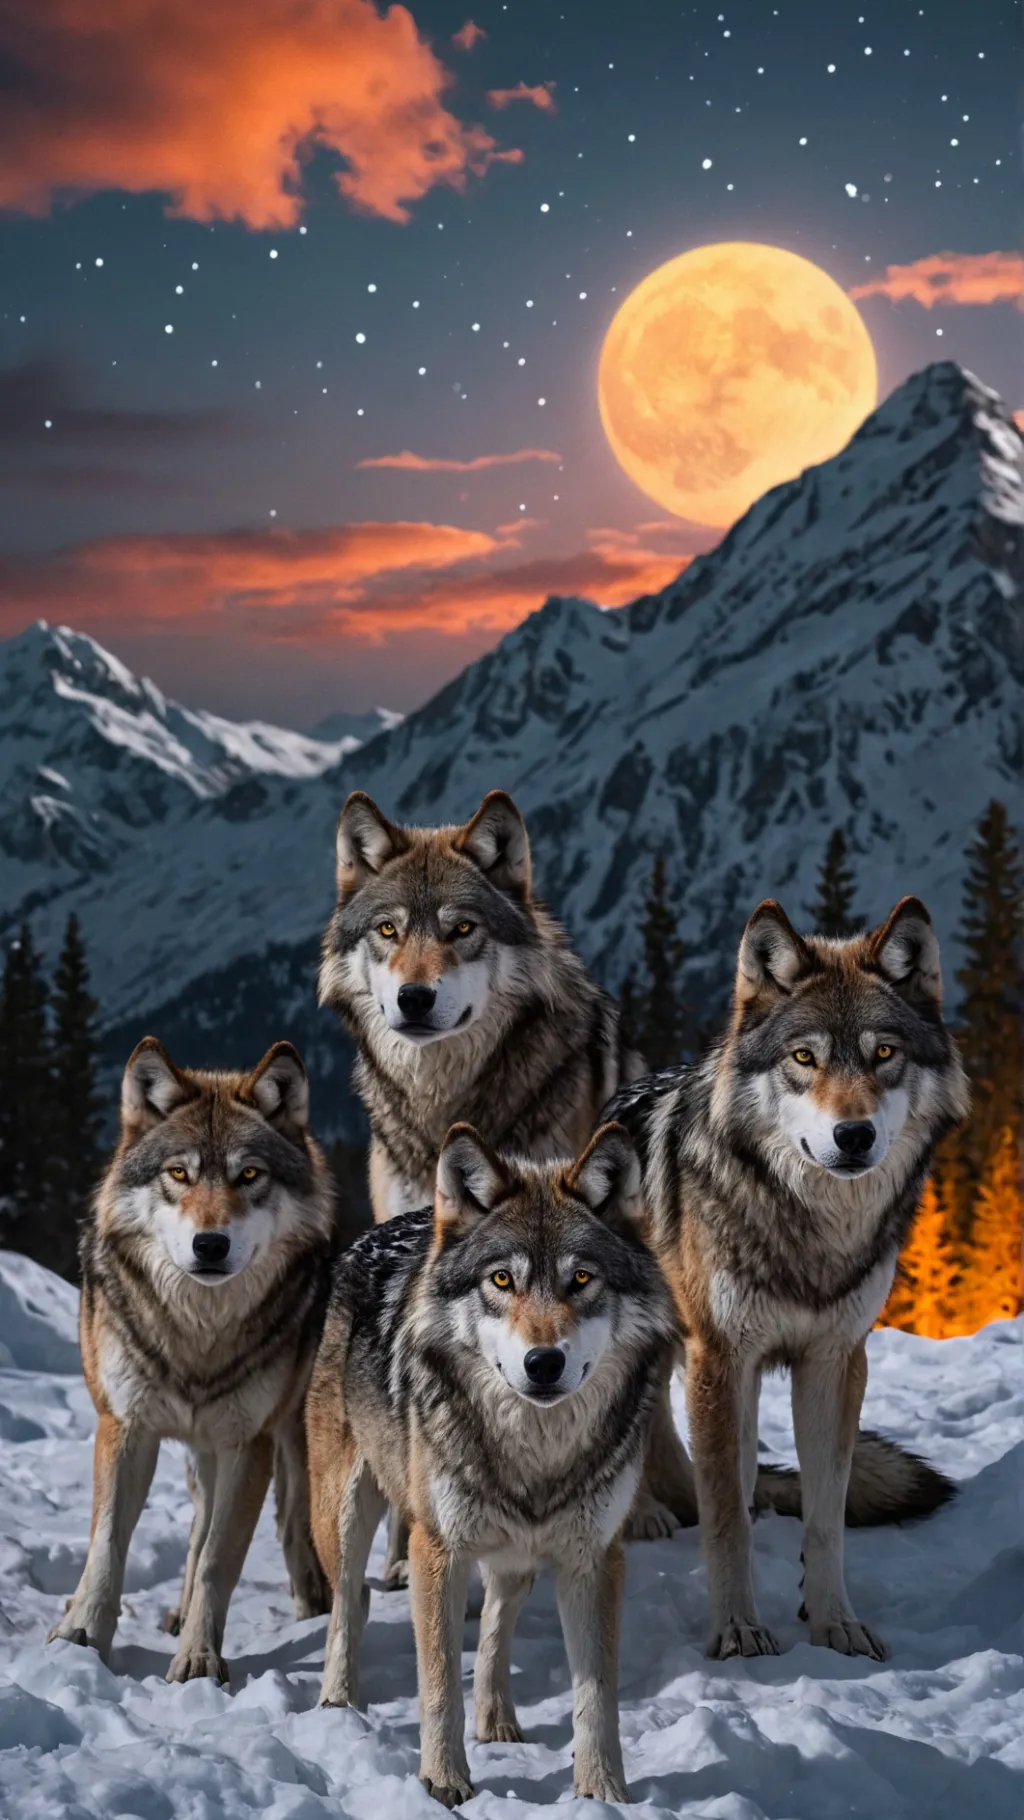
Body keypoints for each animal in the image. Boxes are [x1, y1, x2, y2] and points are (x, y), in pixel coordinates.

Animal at [48, 1037, 334, 1683]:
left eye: (248, 1175)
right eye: (179, 1173)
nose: (211, 1244)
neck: (197, 1336)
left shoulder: (248, 1444)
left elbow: (217, 1562)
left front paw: (201, 1660)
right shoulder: (124, 1426)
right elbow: (107, 1547)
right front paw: (80, 1636)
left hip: (288, 1439)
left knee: (287, 1523)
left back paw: (313, 1603)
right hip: (202, 1455)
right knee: (200, 1526)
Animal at [306, 1120, 677, 1809]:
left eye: (581, 1279)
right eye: (501, 1280)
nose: (544, 1363)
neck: (534, 1451)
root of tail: (380, 1231)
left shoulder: (594, 1558)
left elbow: (595, 1694)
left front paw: (603, 1792)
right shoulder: (435, 1549)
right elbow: (438, 1684)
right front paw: (444, 1781)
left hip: (517, 1553)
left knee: (496, 1627)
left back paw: (498, 1719)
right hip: (342, 1513)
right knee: (349, 1602)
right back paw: (339, 1707)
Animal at [604, 895, 967, 1664]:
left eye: (883, 1053)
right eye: (805, 1057)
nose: (854, 1136)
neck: (813, 1231)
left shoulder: (836, 1360)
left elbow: (824, 1514)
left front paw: (835, 1624)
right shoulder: (722, 1359)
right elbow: (726, 1520)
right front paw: (738, 1630)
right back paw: (644, 1515)